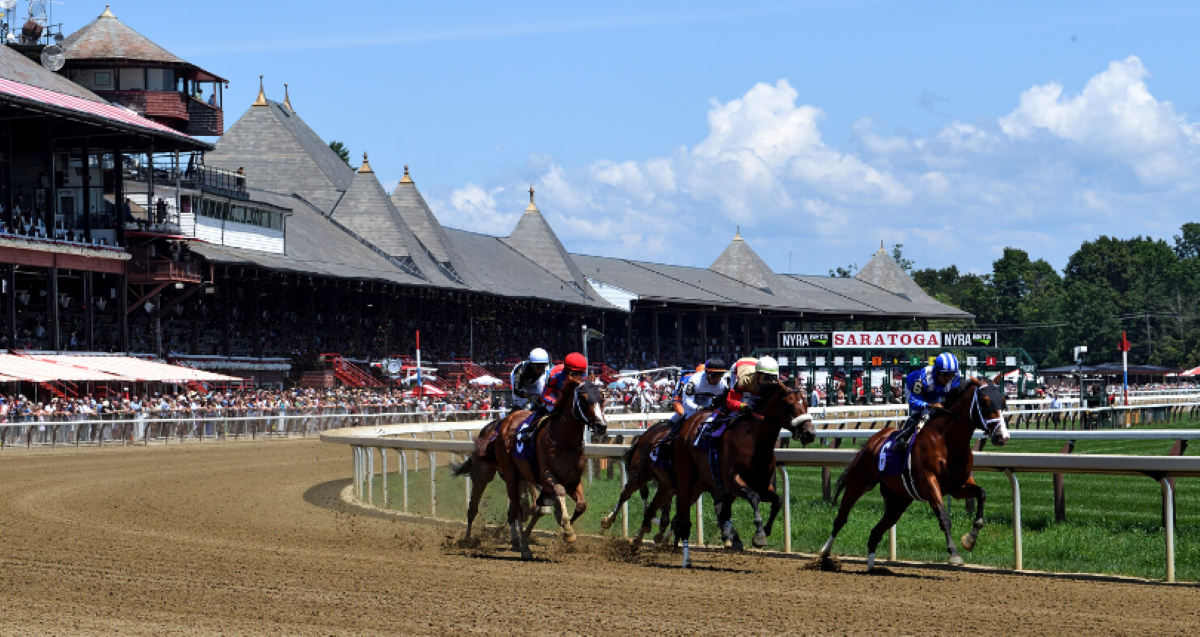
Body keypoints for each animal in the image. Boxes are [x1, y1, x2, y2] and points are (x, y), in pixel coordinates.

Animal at [451, 376, 609, 561]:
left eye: (602, 397)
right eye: (583, 399)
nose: (601, 426)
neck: (564, 441)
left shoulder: (573, 480)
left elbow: (580, 506)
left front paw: (563, 524)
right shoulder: (545, 477)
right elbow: (554, 495)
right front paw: (567, 531)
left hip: (517, 477)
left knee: (514, 510)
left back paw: (517, 540)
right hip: (495, 474)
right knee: (488, 507)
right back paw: (475, 540)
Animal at [676, 383, 816, 568]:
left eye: (807, 403)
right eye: (790, 405)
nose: (810, 433)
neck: (755, 441)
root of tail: (689, 421)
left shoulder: (762, 485)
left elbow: (777, 501)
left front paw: (767, 530)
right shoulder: (734, 481)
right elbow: (753, 497)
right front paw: (759, 534)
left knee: (722, 512)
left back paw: (728, 536)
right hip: (688, 479)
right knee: (683, 515)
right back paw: (684, 557)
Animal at [816, 374, 1012, 568]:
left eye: (1003, 401)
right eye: (984, 401)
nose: (1002, 436)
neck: (947, 441)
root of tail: (873, 440)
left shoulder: (957, 485)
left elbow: (982, 493)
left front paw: (970, 539)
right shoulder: (928, 482)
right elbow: (944, 518)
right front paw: (954, 553)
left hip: (898, 500)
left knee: (876, 531)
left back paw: (871, 566)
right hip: (858, 482)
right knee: (841, 518)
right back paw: (824, 553)